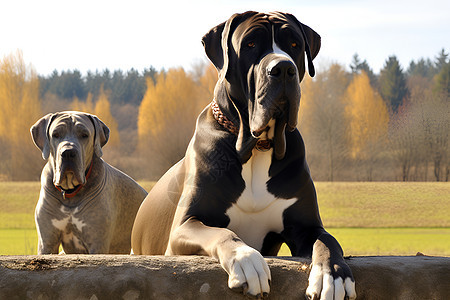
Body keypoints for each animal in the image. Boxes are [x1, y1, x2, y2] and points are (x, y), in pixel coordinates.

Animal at [30, 111, 147, 254]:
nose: (68, 152)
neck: (70, 193)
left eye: (84, 135)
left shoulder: (97, 243)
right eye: (56, 134)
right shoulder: (47, 242)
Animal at [132, 10, 356, 298]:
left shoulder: (308, 226)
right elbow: (222, 233)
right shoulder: (185, 226)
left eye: (294, 44)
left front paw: (333, 275)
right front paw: (247, 260)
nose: (283, 68)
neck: (258, 147)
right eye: (250, 44)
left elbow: (328, 241)